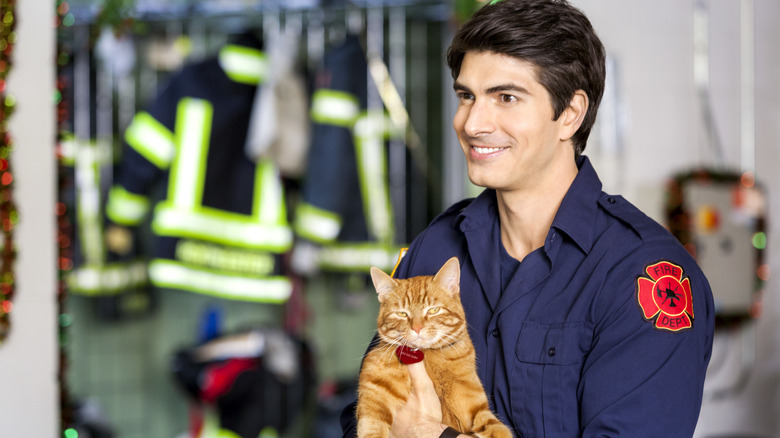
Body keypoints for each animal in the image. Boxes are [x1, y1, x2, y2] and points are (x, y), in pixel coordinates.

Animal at [356, 256, 516, 438]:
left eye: (433, 310)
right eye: (402, 314)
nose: (417, 328)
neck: (428, 358)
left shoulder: (478, 410)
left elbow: (498, 429)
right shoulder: (374, 393)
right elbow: (373, 428)